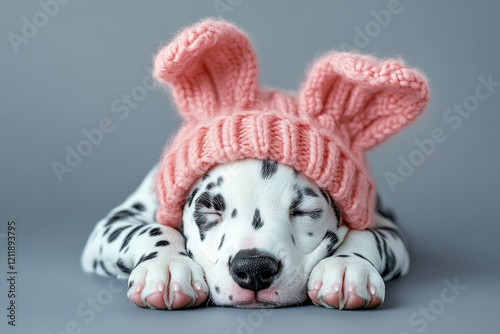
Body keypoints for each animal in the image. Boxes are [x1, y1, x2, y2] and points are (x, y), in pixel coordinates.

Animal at [81, 160, 410, 310]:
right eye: (209, 212)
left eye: (304, 211)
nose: (254, 268)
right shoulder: (111, 226)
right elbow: (155, 228)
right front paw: (167, 266)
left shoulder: (389, 230)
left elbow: (366, 235)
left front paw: (347, 266)